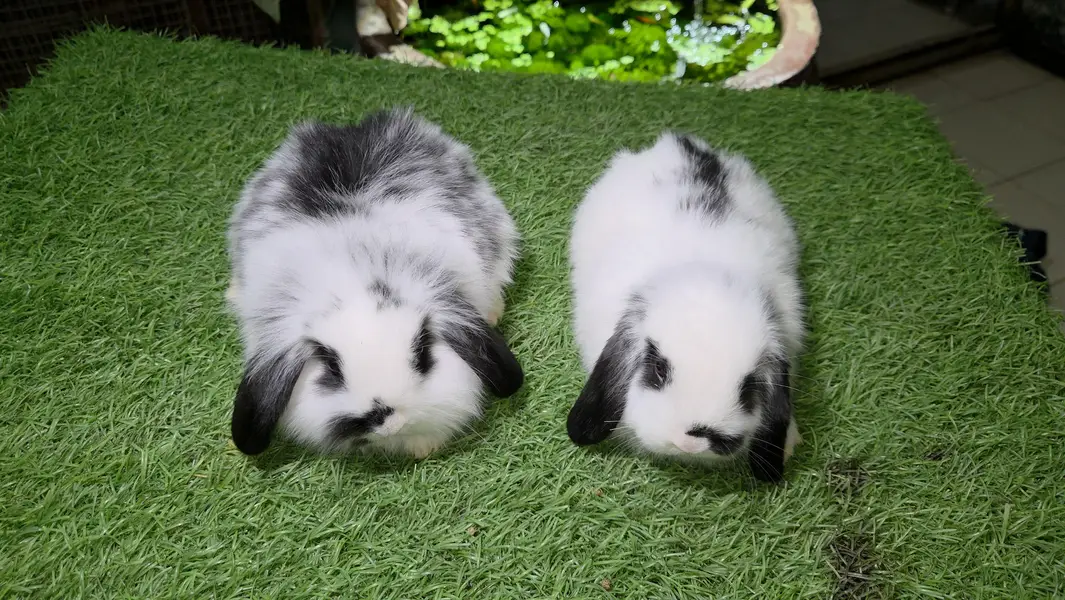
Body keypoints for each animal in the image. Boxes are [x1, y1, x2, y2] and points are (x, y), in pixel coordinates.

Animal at [225, 108, 523, 459]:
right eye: (331, 367)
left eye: (423, 353)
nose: (389, 422)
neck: (353, 273)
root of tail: (353, 129)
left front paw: (423, 447)